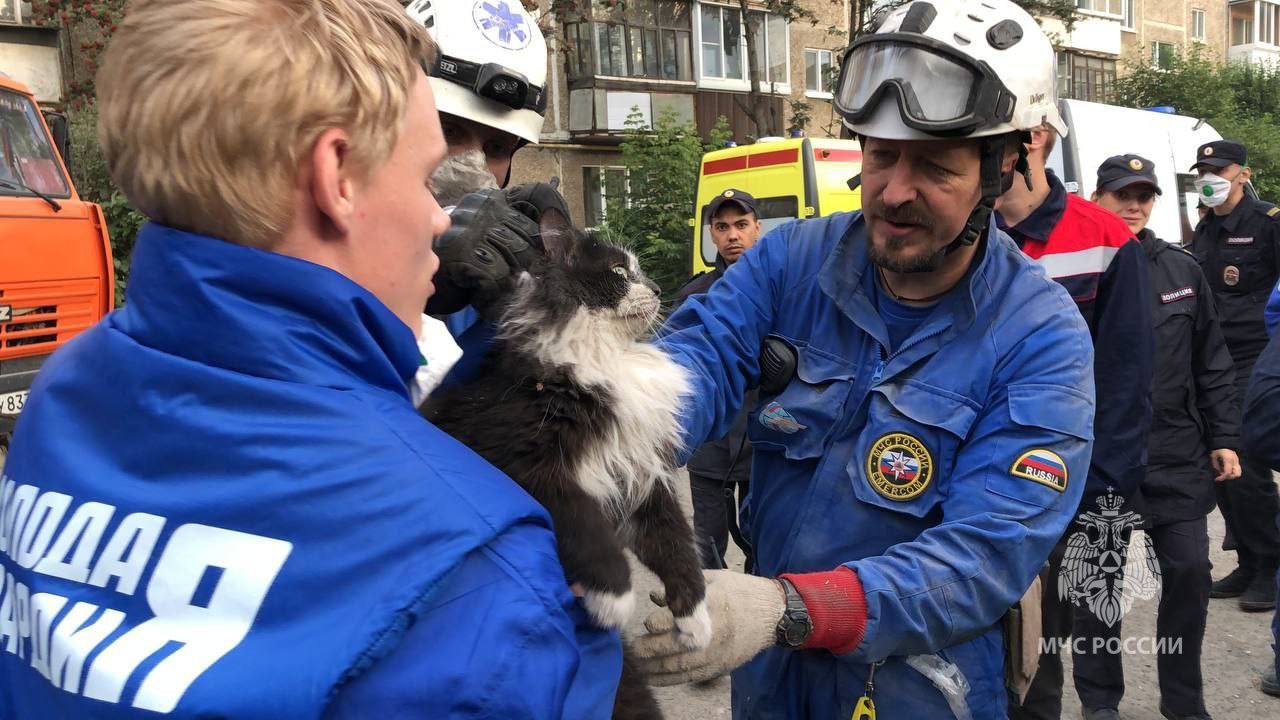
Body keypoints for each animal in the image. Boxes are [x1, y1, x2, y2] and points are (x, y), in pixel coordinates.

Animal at [427, 207, 711, 717]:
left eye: (637, 270)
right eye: (618, 272)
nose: (658, 290)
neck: (609, 358)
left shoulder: (642, 474)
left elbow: (677, 545)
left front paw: (696, 622)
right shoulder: (531, 469)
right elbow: (588, 530)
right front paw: (614, 603)